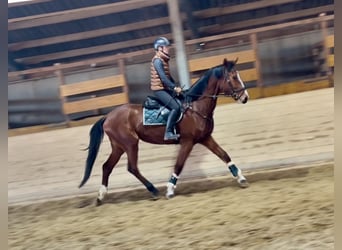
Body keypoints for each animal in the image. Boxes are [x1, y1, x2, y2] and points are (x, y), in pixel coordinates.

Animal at [80, 57, 251, 204]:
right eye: (233, 77)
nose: (245, 97)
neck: (195, 107)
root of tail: (108, 116)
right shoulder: (187, 142)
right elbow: (179, 165)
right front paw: (169, 190)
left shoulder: (205, 138)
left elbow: (224, 155)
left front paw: (241, 178)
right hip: (130, 144)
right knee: (132, 167)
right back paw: (154, 190)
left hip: (119, 146)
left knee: (107, 167)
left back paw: (101, 196)